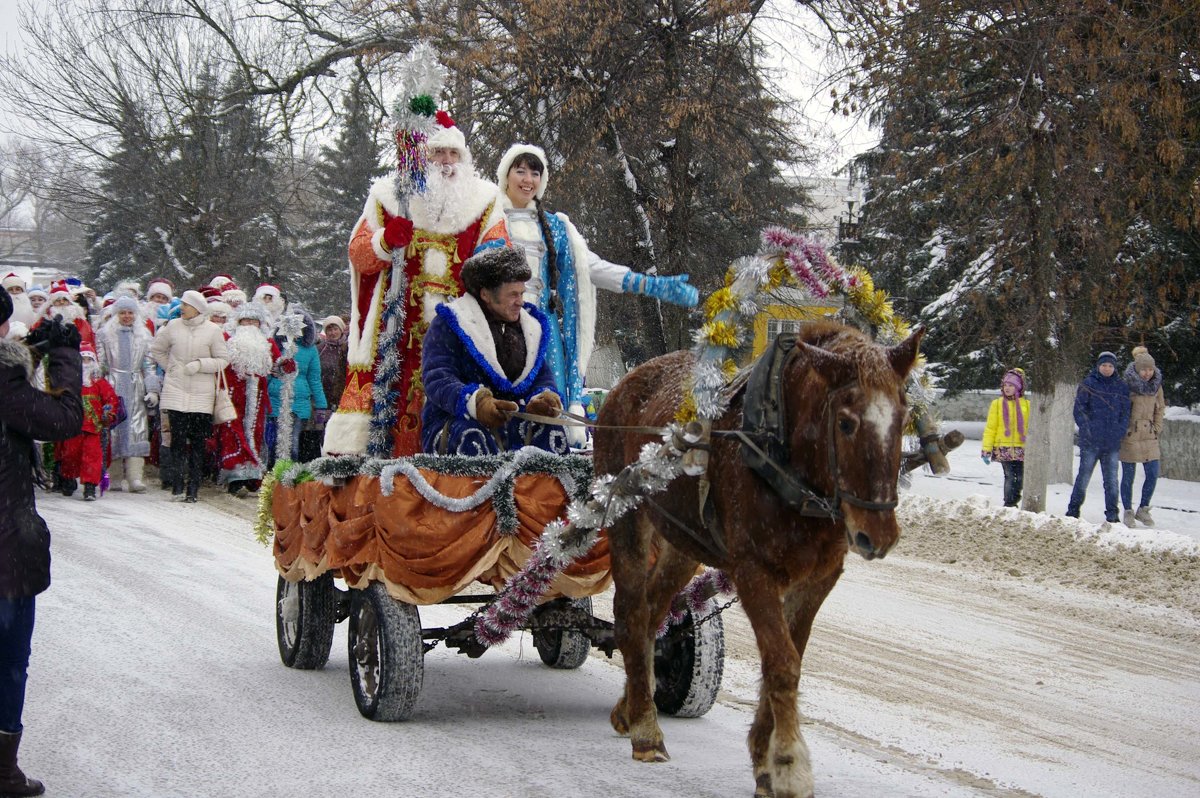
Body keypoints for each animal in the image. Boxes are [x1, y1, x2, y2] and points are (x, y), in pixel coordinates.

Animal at [595, 319, 921, 796]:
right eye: (845, 423)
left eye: (903, 417)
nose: (877, 535)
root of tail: (621, 385)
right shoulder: (754, 572)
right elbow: (782, 664)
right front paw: (788, 764)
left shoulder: (819, 578)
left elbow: (786, 658)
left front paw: (764, 760)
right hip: (628, 518)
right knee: (631, 615)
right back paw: (646, 730)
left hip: (682, 543)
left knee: (655, 612)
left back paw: (631, 706)